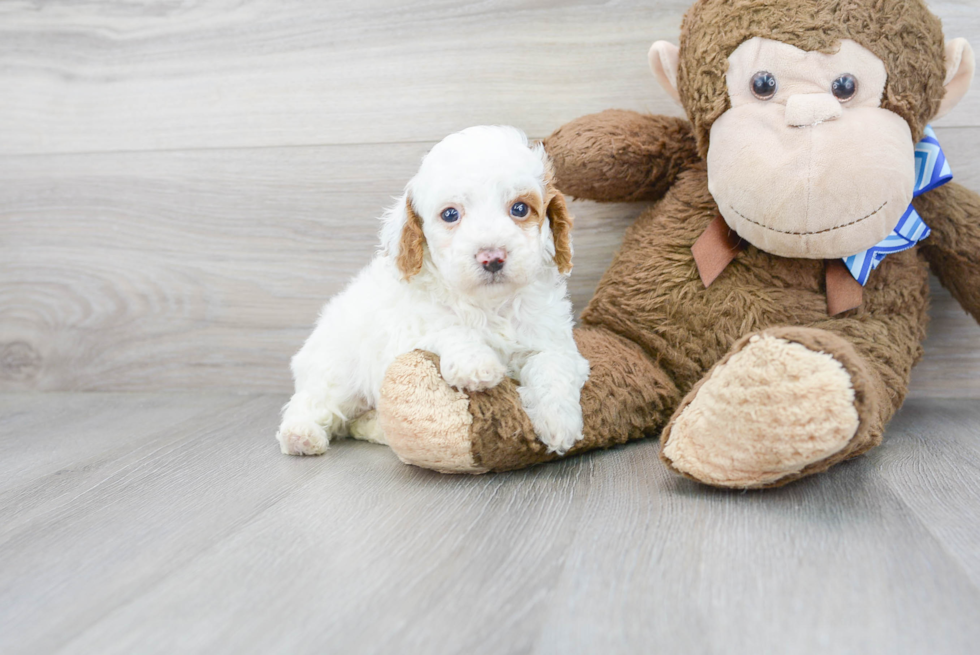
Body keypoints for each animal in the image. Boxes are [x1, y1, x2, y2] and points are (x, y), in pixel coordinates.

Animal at [280, 125, 592, 458]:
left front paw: (560, 423)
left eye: (520, 208)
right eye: (450, 214)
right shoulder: (408, 333)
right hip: (337, 369)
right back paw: (301, 435)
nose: (492, 257)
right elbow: (447, 328)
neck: (489, 305)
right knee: (313, 401)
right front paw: (476, 364)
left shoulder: (554, 341)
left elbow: (553, 366)